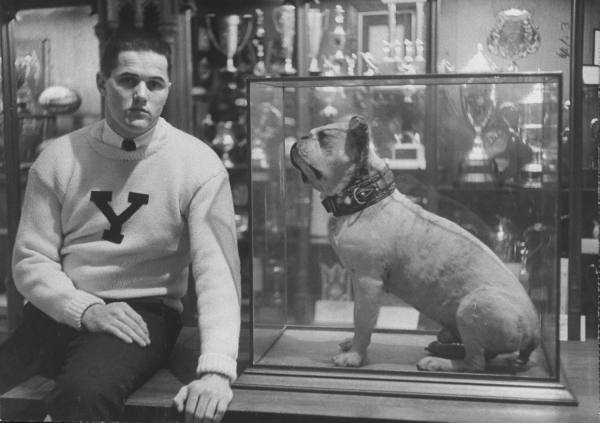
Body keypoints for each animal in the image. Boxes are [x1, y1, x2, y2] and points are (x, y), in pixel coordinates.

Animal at [289, 115, 541, 372]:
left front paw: (355, 356)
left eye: (324, 138)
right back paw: (444, 348)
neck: (364, 196)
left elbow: (362, 322)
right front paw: (352, 346)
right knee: (484, 355)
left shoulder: (367, 283)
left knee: (475, 363)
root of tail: (534, 333)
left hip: (472, 308)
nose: (299, 138)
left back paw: (441, 361)